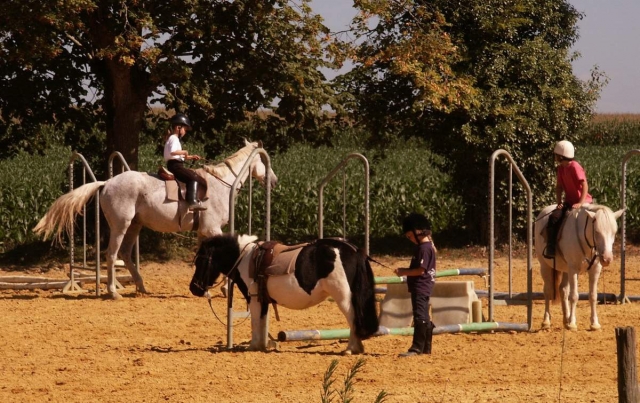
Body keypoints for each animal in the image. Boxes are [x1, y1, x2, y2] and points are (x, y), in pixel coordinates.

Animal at [34, 140, 277, 299]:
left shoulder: (204, 233)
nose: (273, 181)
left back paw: (141, 286)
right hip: (121, 226)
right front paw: (224, 289)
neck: (221, 184)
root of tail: (107, 183)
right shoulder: (213, 229)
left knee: (125, 254)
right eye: (264, 160)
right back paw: (113, 292)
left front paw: (205, 288)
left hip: (135, 226)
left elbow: (206, 258)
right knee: (112, 254)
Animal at [189, 234, 380, 355]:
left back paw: (350, 348)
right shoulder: (263, 299)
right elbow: (262, 321)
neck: (244, 258)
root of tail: (353, 250)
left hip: (343, 297)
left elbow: (255, 322)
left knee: (353, 318)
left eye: (201, 260)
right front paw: (262, 345)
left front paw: (253, 346)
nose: (194, 288)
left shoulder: (254, 298)